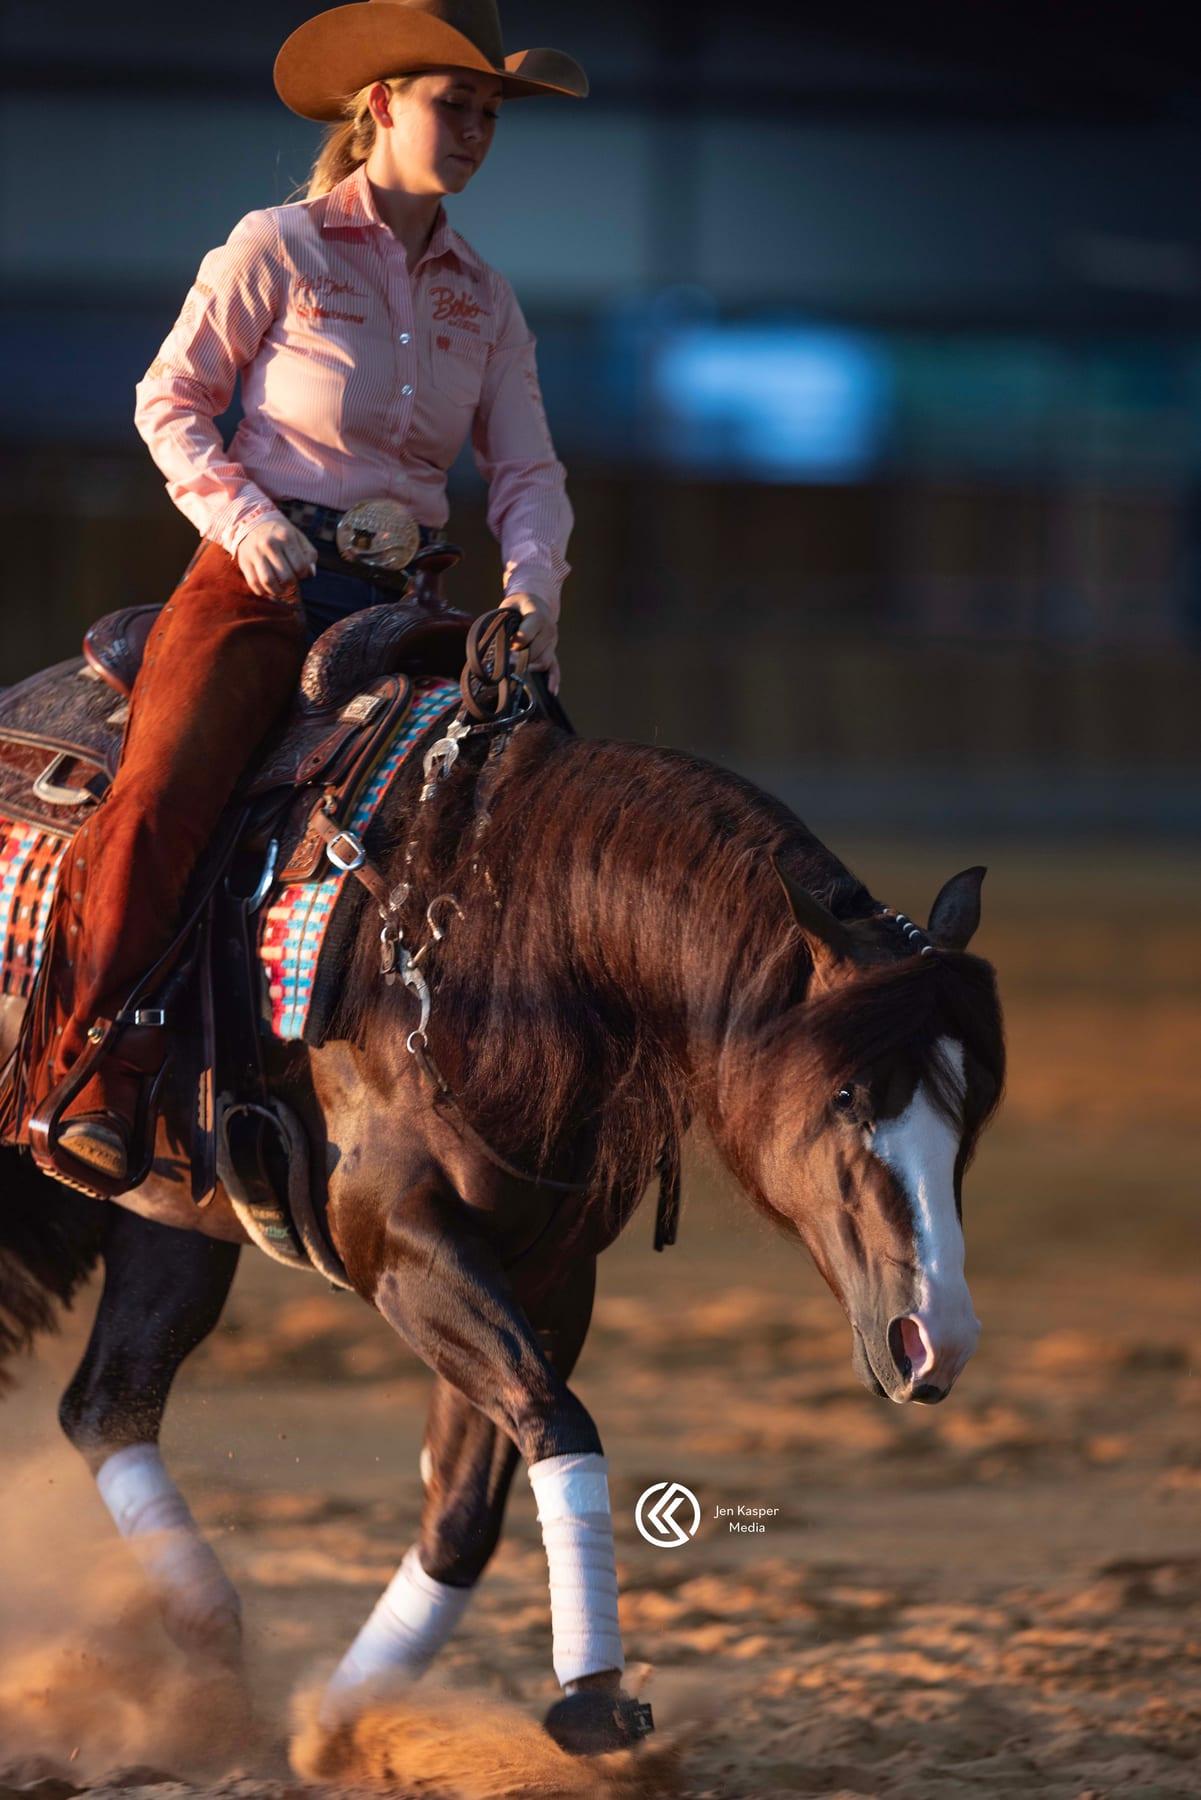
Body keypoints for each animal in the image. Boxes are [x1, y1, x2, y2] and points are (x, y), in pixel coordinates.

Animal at [0, 706, 1006, 1756]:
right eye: (846, 1093)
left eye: (973, 1108)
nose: (934, 1338)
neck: (512, 947)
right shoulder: (402, 1248)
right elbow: (553, 1419)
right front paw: (593, 1698)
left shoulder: (548, 1271)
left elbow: (469, 1501)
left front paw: (344, 1723)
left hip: (173, 1226)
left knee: (107, 1403)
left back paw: (211, 1646)